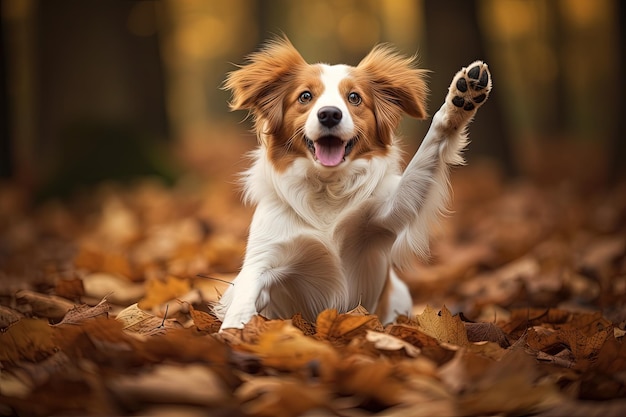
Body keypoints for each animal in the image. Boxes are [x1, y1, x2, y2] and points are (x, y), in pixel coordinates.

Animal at [213, 36, 488, 328]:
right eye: (305, 96)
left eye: (354, 97)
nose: (330, 114)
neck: (326, 187)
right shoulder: (265, 256)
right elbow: (244, 296)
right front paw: (233, 330)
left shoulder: (386, 213)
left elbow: (427, 152)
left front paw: (460, 101)